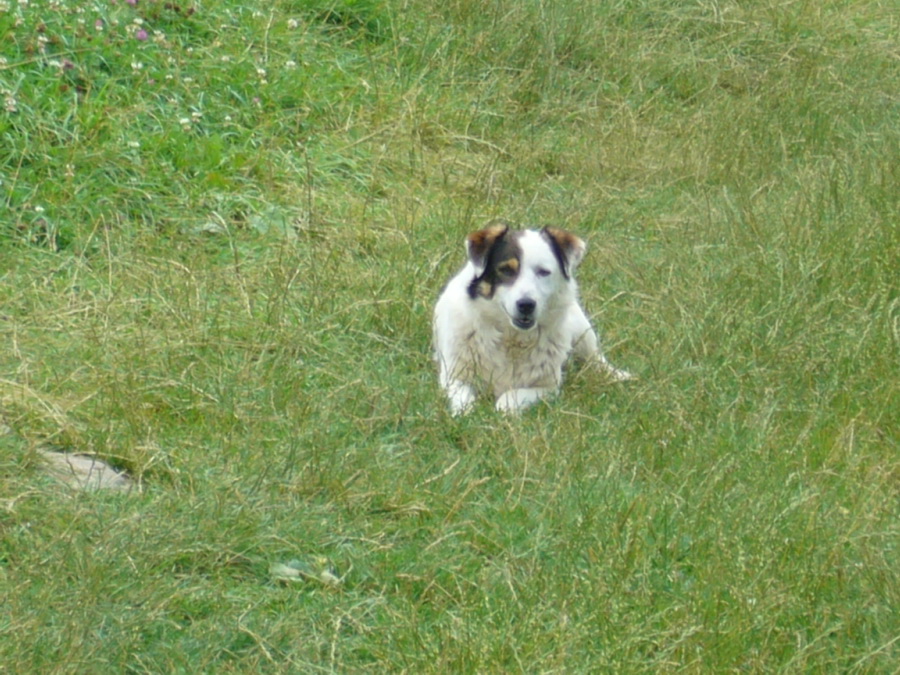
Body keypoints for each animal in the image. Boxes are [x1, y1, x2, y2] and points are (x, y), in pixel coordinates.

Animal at [433, 221, 632, 415]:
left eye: (543, 272)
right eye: (506, 270)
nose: (526, 304)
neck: (511, 338)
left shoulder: (548, 387)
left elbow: (507, 399)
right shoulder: (454, 377)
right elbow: (464, 403)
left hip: (582, 331)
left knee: (596, 359)